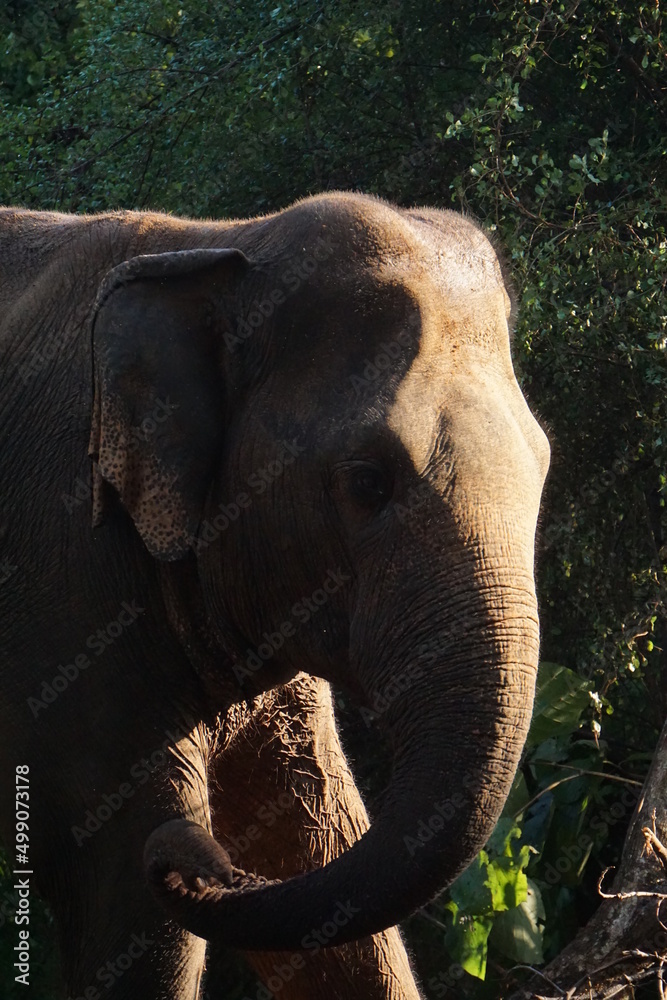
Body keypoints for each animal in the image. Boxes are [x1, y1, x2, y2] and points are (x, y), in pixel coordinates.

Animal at [0, 191, 549, 999]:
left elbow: (316, 839)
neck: (222, 247)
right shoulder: (68, 592)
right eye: (366, 482)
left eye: (544, 467)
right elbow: (135, 899)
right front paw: (165, 840)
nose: (191, 856)